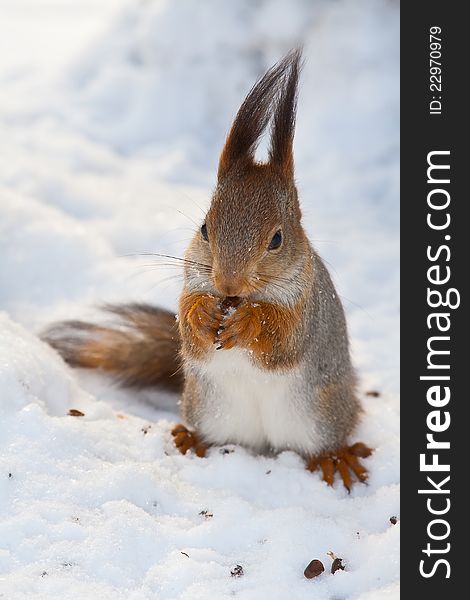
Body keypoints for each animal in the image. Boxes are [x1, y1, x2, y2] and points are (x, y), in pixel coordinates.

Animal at [46, 50, 372, 492]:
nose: (227, 282)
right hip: (208, 407)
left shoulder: (307, 308)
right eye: (204, 228)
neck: (239, 299)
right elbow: (189, 332)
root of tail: (265, 441)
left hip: (322, 414)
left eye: (277, 239)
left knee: (326, 439)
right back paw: (190, 439)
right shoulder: (192, 281)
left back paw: (335, 458)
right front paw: (201, 314)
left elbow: (282, 340)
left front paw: (249, 323)